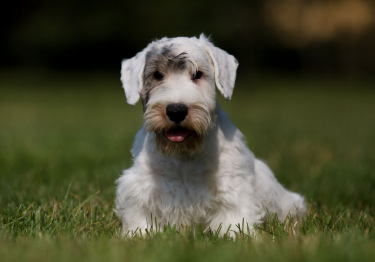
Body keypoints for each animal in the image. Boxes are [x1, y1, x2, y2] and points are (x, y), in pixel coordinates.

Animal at [116, 33, 306, 236]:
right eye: (157, 75)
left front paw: (236, 235)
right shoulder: (141, 190)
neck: (183, 155)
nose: (176, 111)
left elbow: (234, 219)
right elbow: (142, 218)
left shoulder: (233, 189)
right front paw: (139, 234)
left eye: (197, 74)